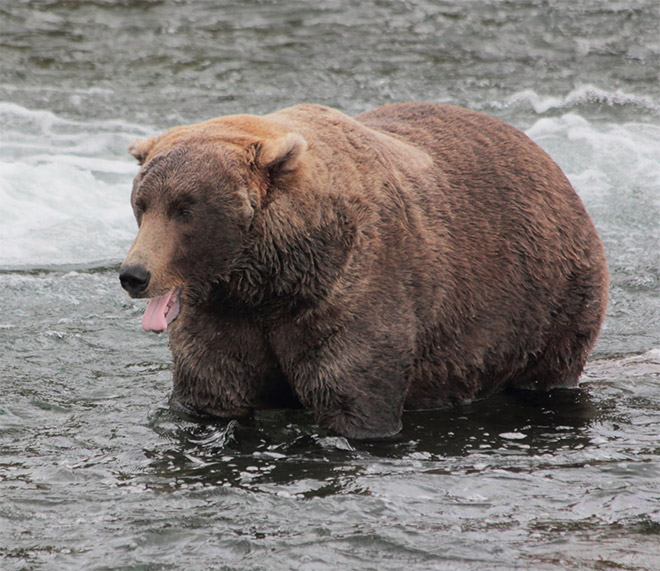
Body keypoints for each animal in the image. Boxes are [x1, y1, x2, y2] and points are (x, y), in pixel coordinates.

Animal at [118, 103, 608, 440]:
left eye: (185, 209)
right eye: (142, 203)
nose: (134, 274)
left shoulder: (352, 293)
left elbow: (354, 395)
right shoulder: (224, 317)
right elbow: (209, 392)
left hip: (548, 299)